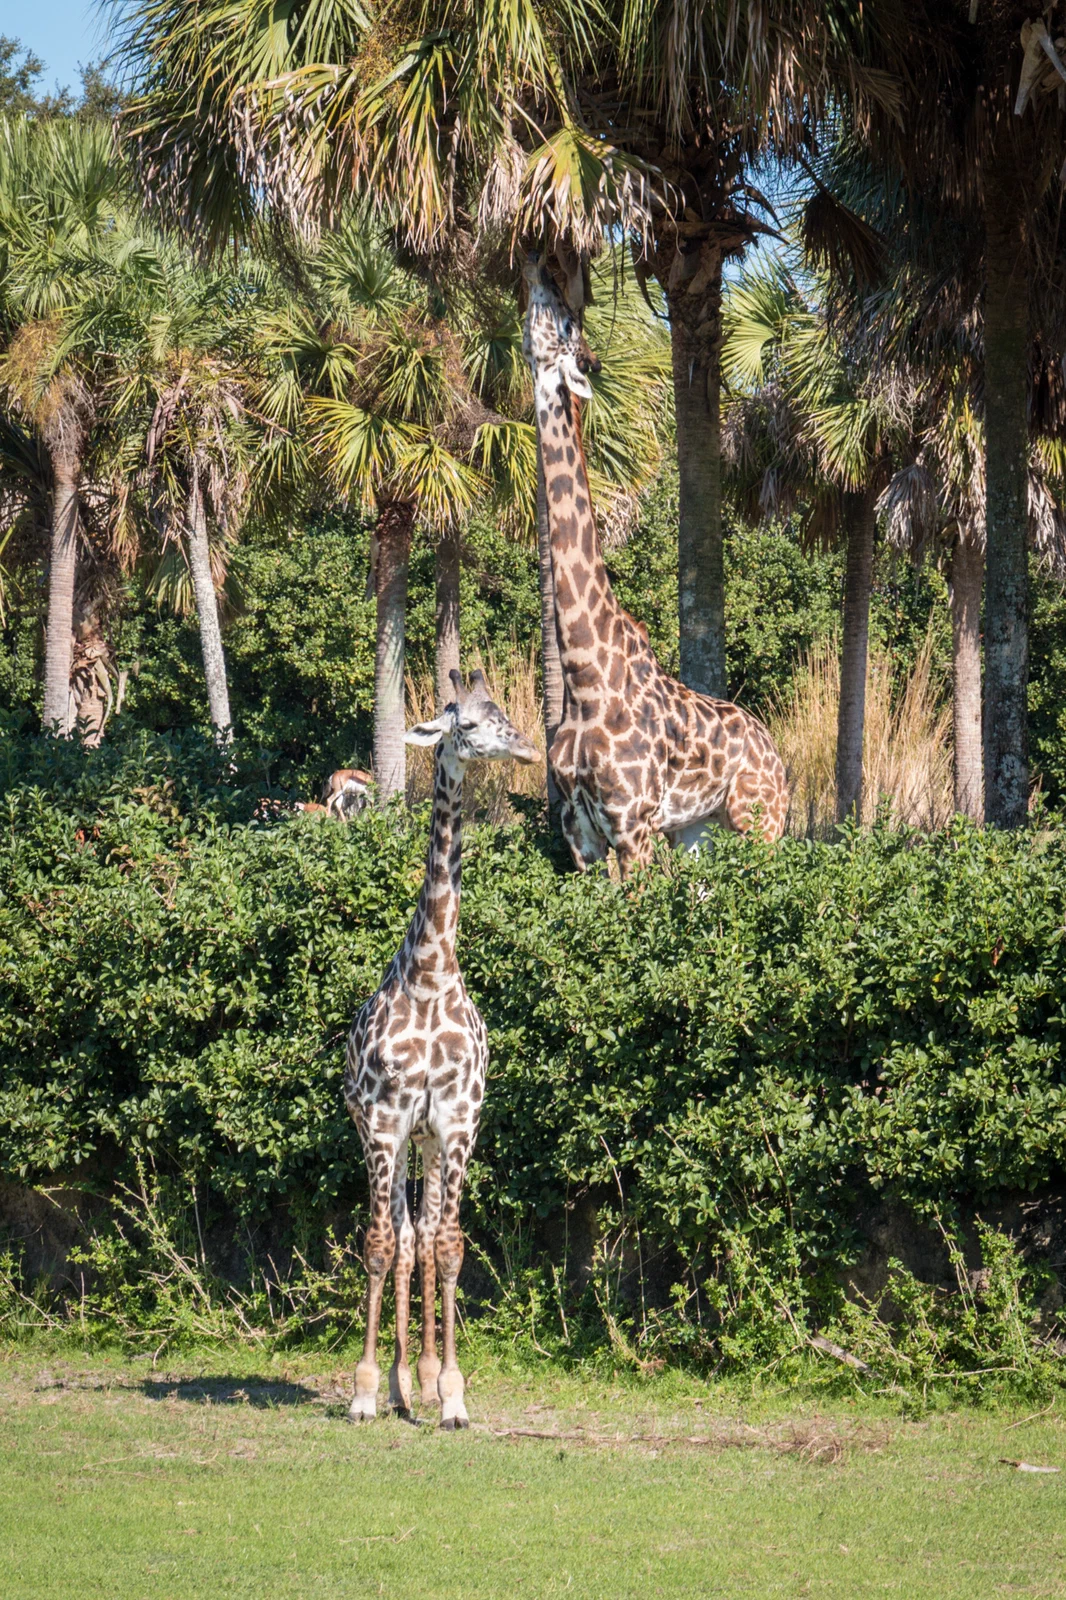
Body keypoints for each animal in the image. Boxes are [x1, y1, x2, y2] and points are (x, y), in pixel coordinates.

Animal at [344, 670, 539, 1428]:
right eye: (469, 724)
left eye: (503, 710)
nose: (528, 749)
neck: (430, 973)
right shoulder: (386, 1121)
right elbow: (377, 1245)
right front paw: (366, 1391)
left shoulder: (456, 1121)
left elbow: (449, 1247)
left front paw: (452, 1394)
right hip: (389, 1137)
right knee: (399, 1240)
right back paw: (397, 1385)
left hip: (426, 1141)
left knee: (422, 1237)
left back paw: (422, 1383)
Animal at [522, 257, 789, 874]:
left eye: (568, 323)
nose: (538, 264)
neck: (582, 674)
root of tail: (778, 753)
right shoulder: (581, 836)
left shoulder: (633, 825)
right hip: (699, 831)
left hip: (761, 824)